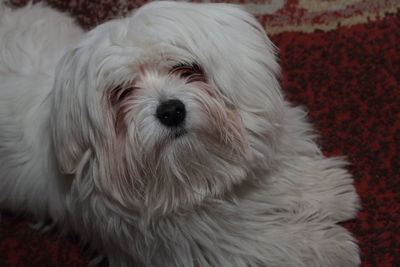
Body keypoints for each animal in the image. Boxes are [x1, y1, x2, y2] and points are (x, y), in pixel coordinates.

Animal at [0, 1, 360, 266]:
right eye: (122, 93)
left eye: (186, 68)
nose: (170, 110)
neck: (195, 170)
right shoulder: (207, 244)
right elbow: (265, 242)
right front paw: (329, 246)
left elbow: (282, 178)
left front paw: (325, 188)